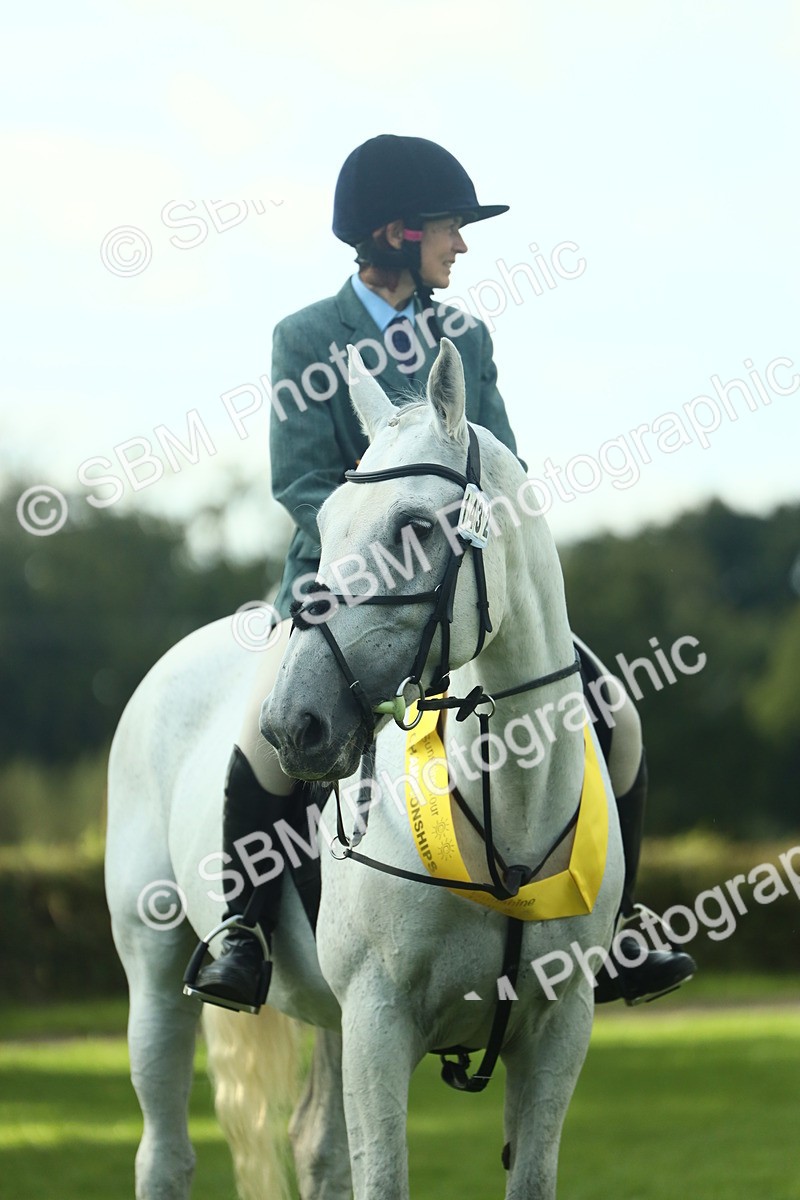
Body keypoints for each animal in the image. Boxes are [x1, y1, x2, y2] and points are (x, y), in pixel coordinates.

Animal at [105, 337, 624, 1200]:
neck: (504, 809)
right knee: (164, 1152)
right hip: (155, 970)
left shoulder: (559, 1026)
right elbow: (381, 1178)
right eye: (324, 522)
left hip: (332, 1016)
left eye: (416, 526)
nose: (292, 725)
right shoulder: (380, 1021)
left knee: (316, 1145)